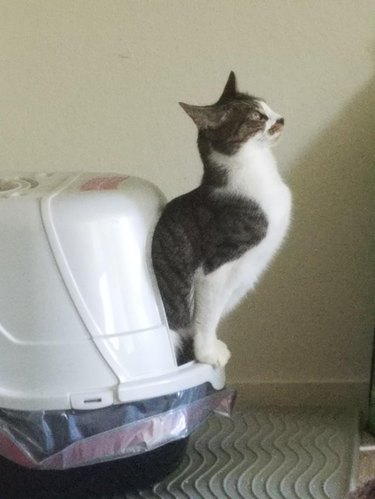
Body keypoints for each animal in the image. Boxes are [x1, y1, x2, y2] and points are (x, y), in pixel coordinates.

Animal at [151, 72, 292, 368]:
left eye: (267, 106)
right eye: (257, 116)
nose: (281, 118)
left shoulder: (244, 274)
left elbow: (214, 315)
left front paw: (211, 346)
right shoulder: (215, 267)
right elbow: (206, 315)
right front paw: (206, 354)